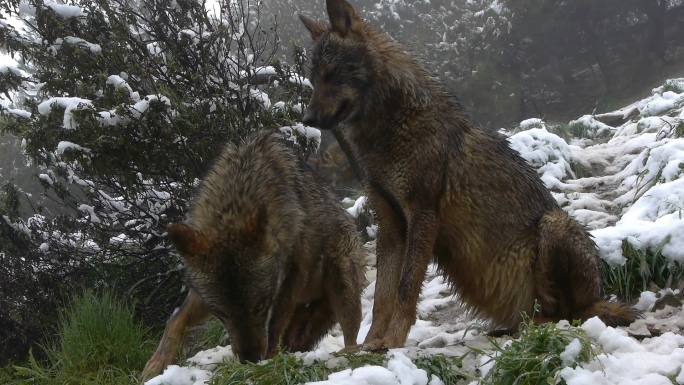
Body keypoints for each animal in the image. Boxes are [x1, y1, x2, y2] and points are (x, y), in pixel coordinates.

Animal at [142, 130, 366, 378]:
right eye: (223, 314)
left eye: (260, 306)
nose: (249, 360)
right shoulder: (202, 296)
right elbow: (175, 321)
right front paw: (156, 364)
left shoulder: (290, 280)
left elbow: (274, 324)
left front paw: (269, 359)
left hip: (342, 284)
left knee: (351, 336)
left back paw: (350, 354)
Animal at [300, 0, 636, 350]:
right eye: (313, 79)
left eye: (330, 75)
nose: (306, 119)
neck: (390, 131)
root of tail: (598, 296)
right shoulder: (390, 224)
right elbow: (382, 296)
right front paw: (371, 343)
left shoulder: (423, 215)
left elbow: (405, 290)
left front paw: (392, 340)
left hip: (554, 224)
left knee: (570, 313)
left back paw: (537, 324)